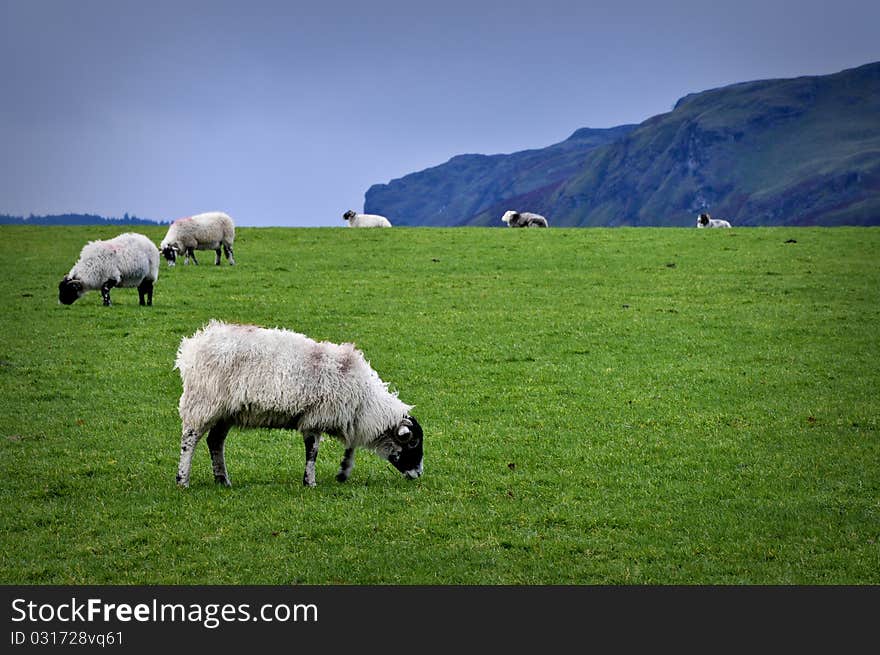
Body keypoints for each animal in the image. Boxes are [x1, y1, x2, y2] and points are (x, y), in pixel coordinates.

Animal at [174, 320, 424, 490]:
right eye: (413, 443)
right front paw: (310, 482)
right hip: (203, 403)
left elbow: (348, 448)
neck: (366, 403)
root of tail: (192, 347)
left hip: (226, 411)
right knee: (189, 440)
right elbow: (312, 452)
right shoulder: (315, 417)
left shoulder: (343, 417)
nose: (419, 474)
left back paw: (222, 480)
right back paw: (182, 480)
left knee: (215, 442)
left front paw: (343, 471)